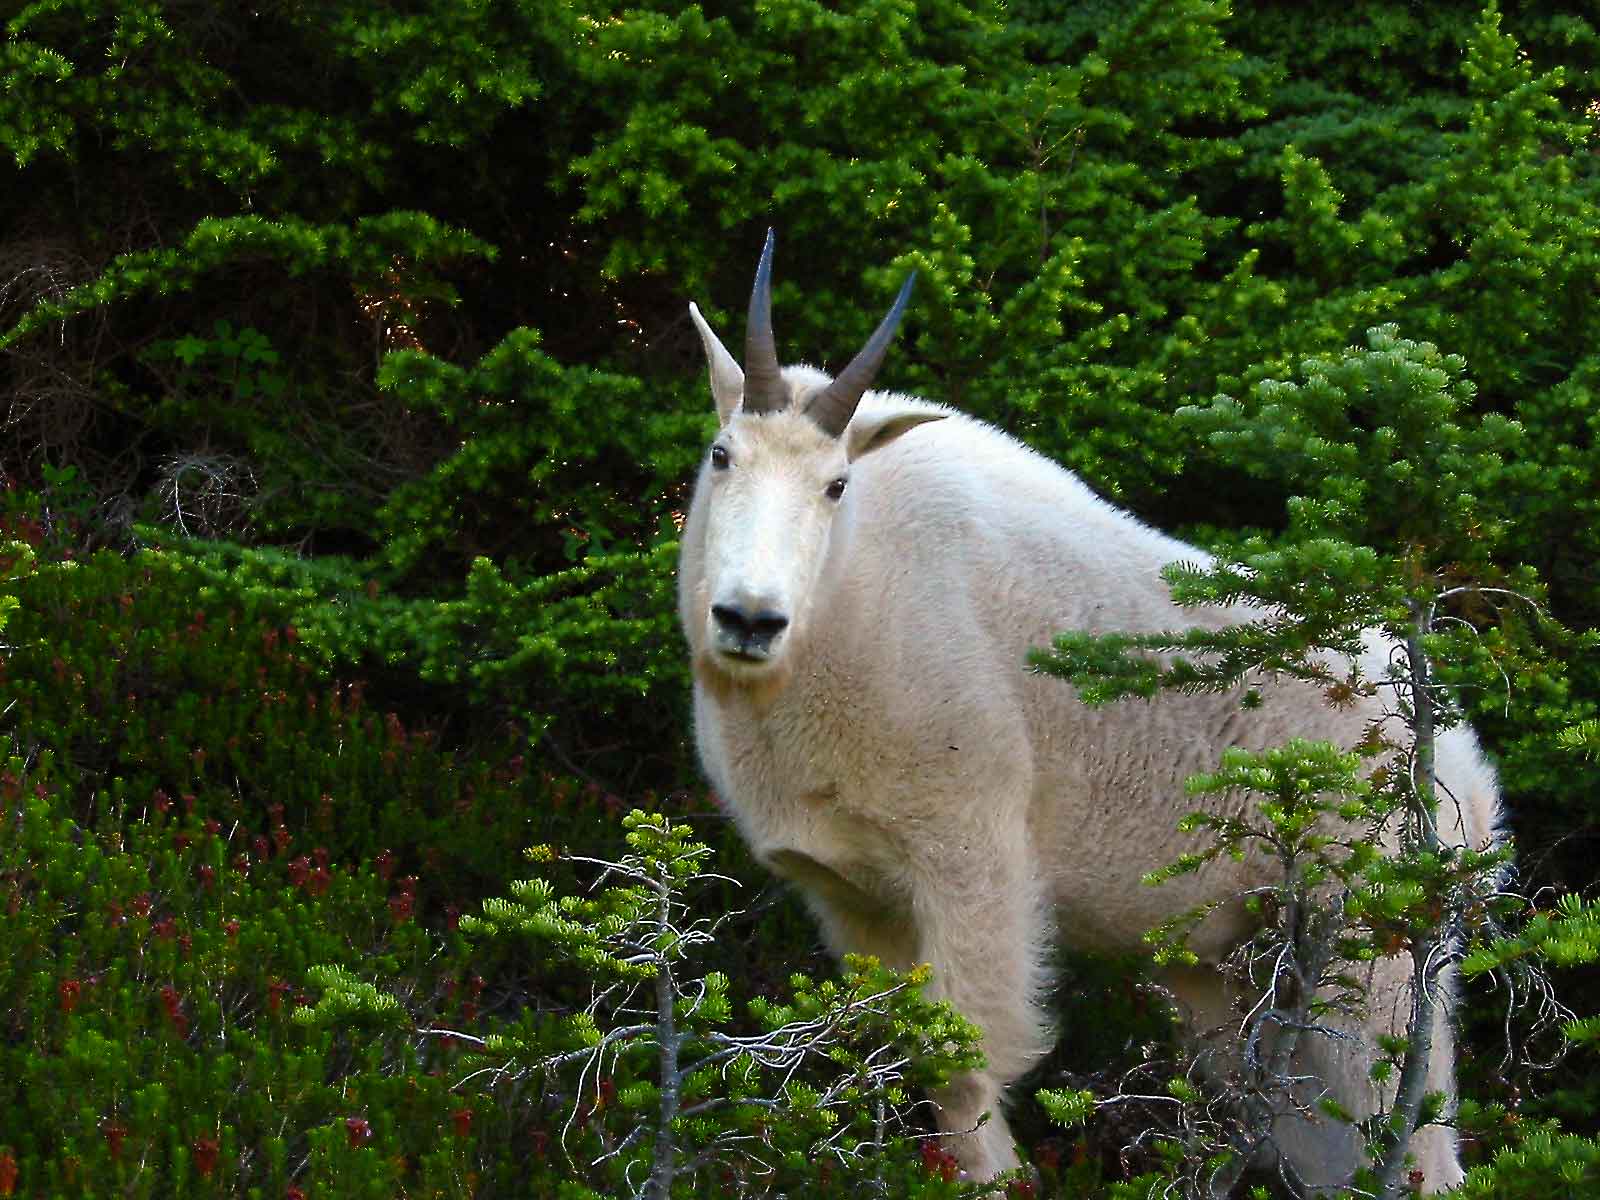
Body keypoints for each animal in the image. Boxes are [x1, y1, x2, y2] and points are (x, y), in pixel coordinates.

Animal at [676, 232, 1500, 1192]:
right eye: (722, 455)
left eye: (837, 484)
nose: (749, 618)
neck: (845, 599)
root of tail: (1468, 775)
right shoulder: (848, 892)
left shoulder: (970, 854)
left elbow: (965, 1064)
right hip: (1238, 969)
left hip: (1380, 938)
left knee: (1414, 1123)